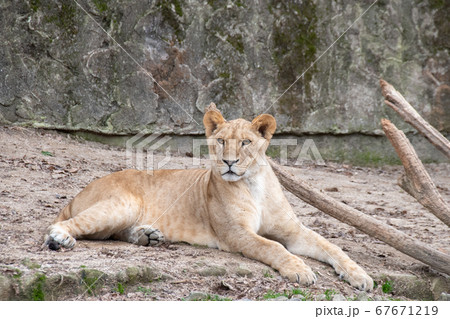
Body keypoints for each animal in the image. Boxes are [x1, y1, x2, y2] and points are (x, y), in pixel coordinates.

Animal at [44, 104, 372, 292]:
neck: (254, 183)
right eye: (221, 141)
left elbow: (332, 247)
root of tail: (80, 191)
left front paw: (361, 277)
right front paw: (301, 270)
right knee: (66, 224)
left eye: (246, 142)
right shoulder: (236, 233)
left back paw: (148, 236)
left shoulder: (294, 231)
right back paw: (61, 239)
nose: (228, 162)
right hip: (122, 204)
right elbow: (272, 247)